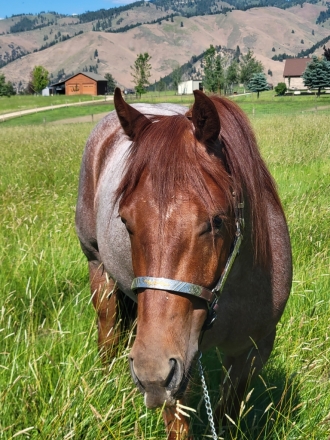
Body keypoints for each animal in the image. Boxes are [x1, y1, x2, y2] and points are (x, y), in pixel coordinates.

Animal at [76, 87, 292, 438]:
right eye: (125, 220)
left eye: (216, 221)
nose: (150, 370)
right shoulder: (177, 370)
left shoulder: (252, 352)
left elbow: (229, 412)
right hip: (97, 267)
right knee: (107, 327)